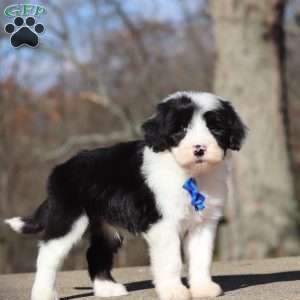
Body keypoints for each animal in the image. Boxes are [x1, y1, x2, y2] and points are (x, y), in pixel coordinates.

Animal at [5, 91, 246, 300]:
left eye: (215, 128)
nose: (199, 149)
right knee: (48, 255)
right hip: (68, 218)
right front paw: (174, 291)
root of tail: (61, 169)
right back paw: (44, 293)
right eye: (181, 129)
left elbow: (201, 257)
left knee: (96, 254)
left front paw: (203, 288)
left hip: (106, 227)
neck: (190, 173)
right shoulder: (163, 224)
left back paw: (107, 289)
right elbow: (171, 260)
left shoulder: (203, 223)